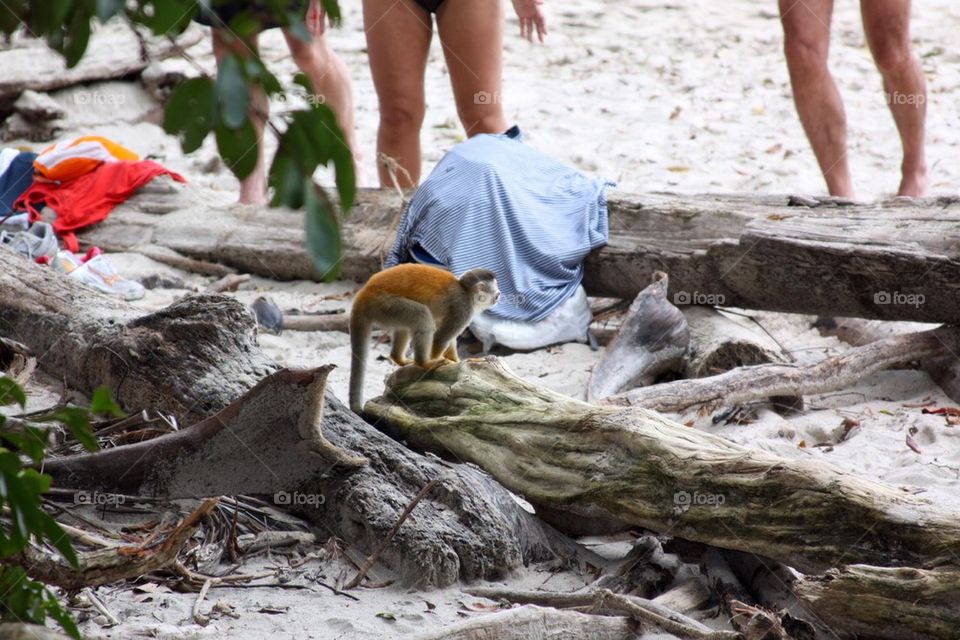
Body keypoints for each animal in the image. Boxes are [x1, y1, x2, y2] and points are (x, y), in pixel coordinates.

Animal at [348, 263, 500, 413]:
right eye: (496, 294)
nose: (498, 296)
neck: (466, 291)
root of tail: (365, 291)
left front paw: (458, 360)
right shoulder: (463, 307)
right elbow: (441, 337)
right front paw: (439, 360)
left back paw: (399, 358)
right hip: (383, 304)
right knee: (422, 314)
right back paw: (424, 363)